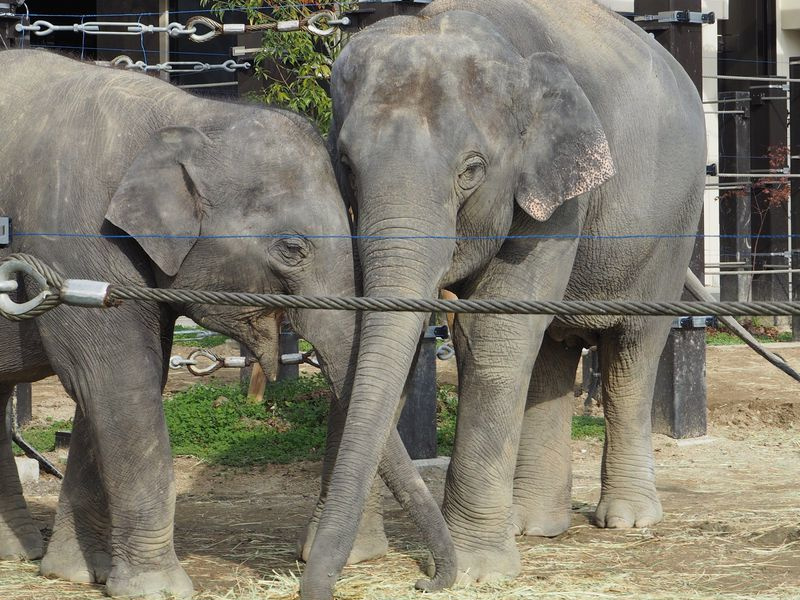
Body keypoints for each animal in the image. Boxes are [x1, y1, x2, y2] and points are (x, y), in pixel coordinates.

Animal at [0, 49, 456, 596]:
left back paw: (18, 552)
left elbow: (120, 380)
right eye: (292, 248)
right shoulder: (71, 240)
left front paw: (76, 572)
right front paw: (157, 588)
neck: (187, 113)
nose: (427, 580)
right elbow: (116, 378)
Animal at [300, 2, 708, 596]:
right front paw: (349, 556)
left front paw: (477, 569)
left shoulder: (558, 193)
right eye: (347, 164)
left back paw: (626, 518)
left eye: (471, 170)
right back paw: (535, 525)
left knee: (632, 349)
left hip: (674, 226)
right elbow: (365, 330)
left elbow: (495, 334)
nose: (427, 581)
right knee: (553, 350)